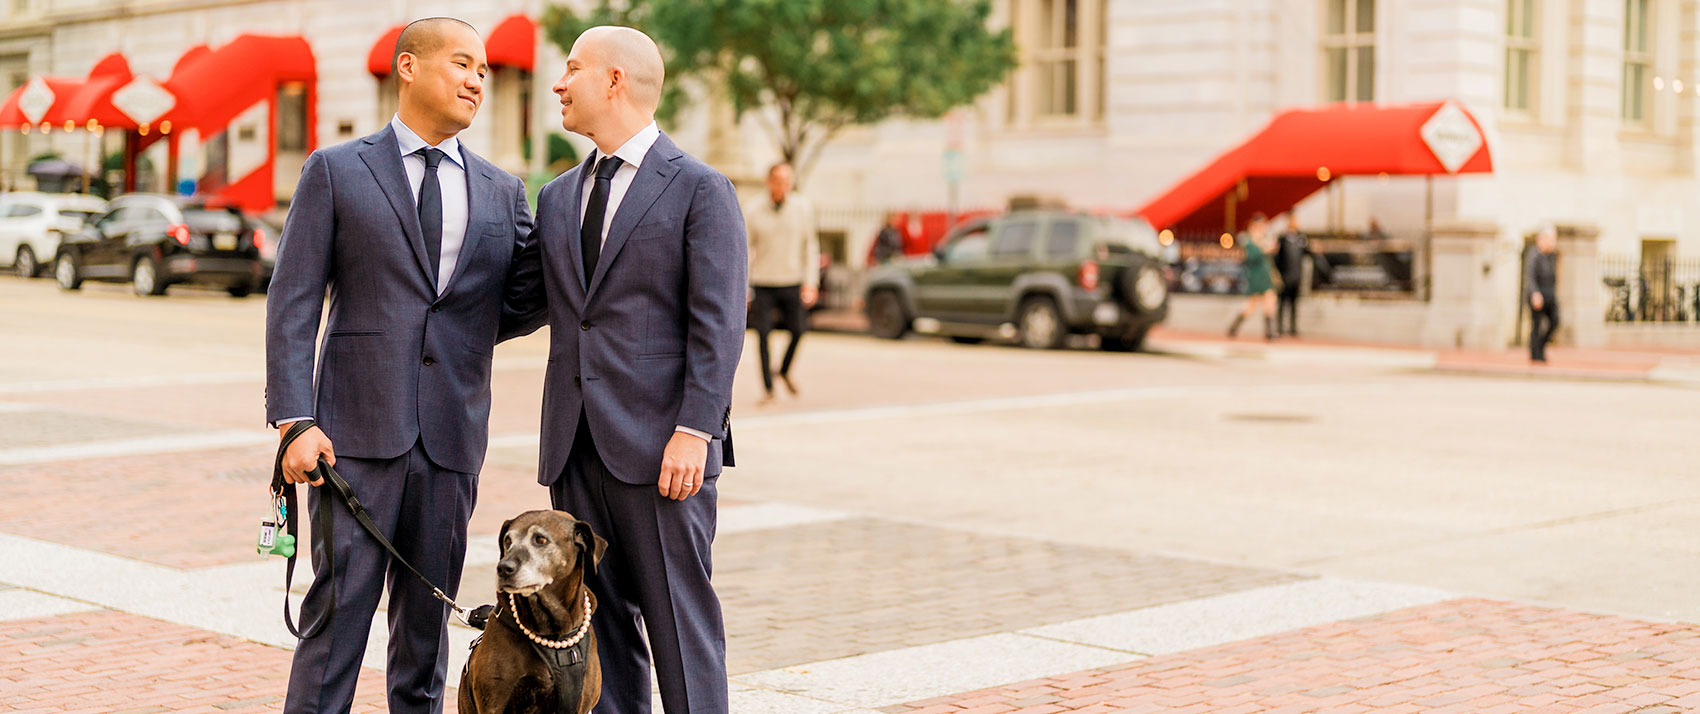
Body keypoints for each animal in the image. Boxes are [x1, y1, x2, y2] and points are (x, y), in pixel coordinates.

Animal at [455, 510, 608, 710]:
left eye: (540, 539)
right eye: (507, 541)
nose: (503, 568)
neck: (550, 630)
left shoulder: (581, 703)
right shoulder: (493, 702)